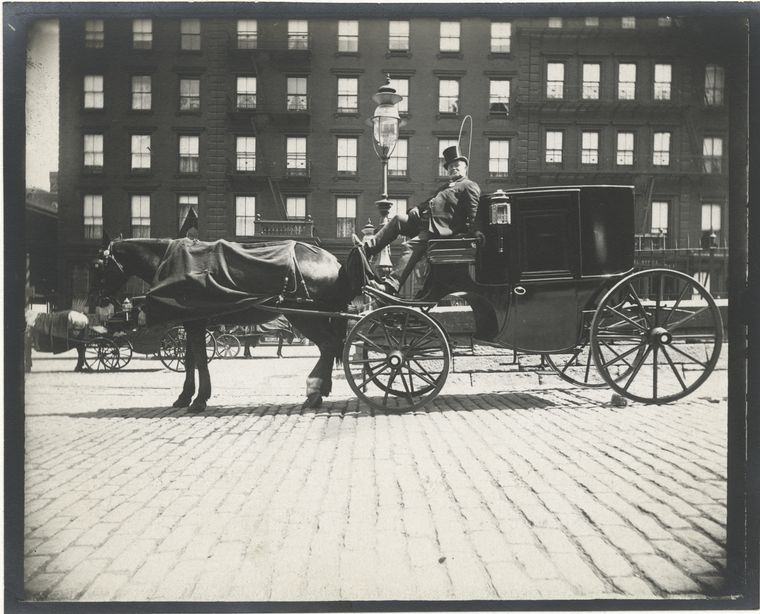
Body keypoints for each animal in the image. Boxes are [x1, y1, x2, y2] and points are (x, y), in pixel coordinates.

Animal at [95, 237, 362, 414]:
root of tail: (333, 261)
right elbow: (189, 359)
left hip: (305, 315)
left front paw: (200, 400)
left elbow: (200, 360)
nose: (99, 302)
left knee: (328, 344)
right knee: (330, 346)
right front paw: (184, 396)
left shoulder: (196, 323)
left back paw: (313, 391)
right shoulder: (191, 322)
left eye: (99, 266)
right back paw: (321, 390)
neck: (170, 263)